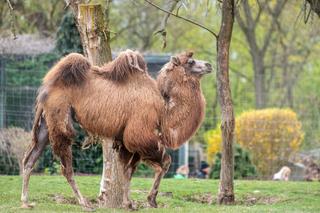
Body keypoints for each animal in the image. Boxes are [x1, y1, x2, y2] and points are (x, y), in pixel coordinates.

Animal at [21, 49, 212, 210]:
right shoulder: (139, 136)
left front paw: (129, 203)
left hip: (46, 123)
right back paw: (84, 203)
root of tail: (46, 87)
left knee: (30, 159)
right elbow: (164, 163)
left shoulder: (126, 141)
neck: (163, 110)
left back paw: (25, 201)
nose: (209, 65)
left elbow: (128, 171)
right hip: (60, 118)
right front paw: (151, 200)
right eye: (191, 62)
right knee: (65, 165)